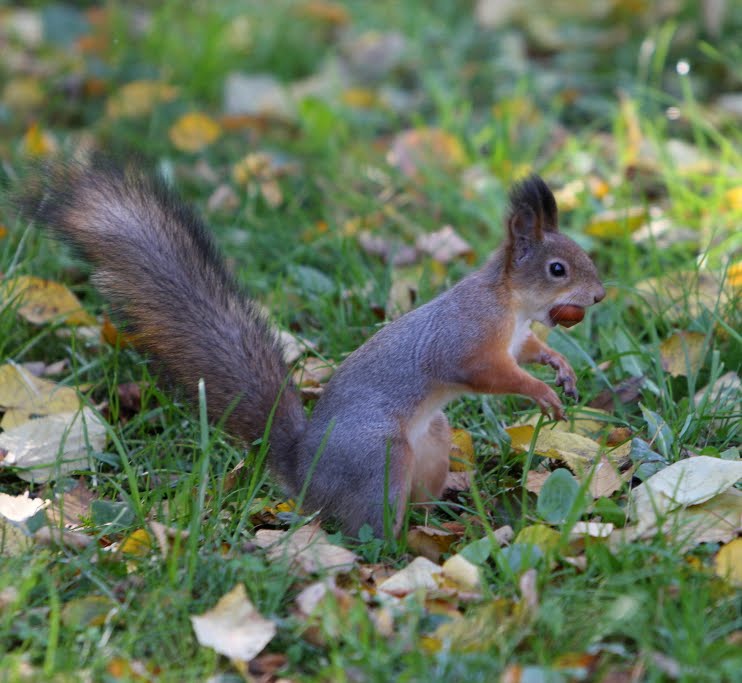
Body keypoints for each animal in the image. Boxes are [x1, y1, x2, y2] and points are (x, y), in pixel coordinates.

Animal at [16, 162, 604, 540]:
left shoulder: (517, 337)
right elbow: (487, 372)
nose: (599, 296)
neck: (510, 304)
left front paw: (561, 368)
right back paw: (405, 549)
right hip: (378, 457)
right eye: (557, 269)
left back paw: (447, 519)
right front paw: (541, 393)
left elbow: (529, 351)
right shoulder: (468, 337)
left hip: (431, 445)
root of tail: (304, 475)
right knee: (366, 530)